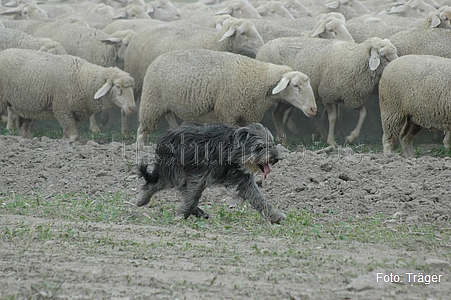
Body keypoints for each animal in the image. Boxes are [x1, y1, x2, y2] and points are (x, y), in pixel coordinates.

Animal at [0, 49, 136, 142]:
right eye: (118, 86)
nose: (132, 108)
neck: (83, 79)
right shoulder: (63, 111)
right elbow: (74, 137)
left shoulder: (72, 114)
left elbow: (67, 136)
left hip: (26, 106)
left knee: (22, 127)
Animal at [137, 122, 286, 223]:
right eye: (260, 147)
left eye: (272, 144)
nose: (277, 158)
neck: (231, 151)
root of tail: (166, 136)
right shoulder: (199, 177)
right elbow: (192, 198)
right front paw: (182, 214)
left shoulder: (244, 180)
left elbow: (259, 198)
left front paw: (274, 216)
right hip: (174, 171)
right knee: (155, 184)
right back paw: (142, 200)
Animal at [138, 49, 318, 144]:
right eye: (296, 86)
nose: (313, 109)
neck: (258, 78)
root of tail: (158, 58)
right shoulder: (229, 112)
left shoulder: (247, 115)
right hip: (151, 103)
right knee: (142, 130)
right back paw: (142, 148)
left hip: (166, 105)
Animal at [258, 37, 400, 147]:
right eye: (383, 55)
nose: (397, 67)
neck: (353, 59)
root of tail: (262, 48)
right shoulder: (328, 96)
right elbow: (333, 118)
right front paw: (332, 142)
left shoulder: (351, 96)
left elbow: (363, 114)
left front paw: (350, 138)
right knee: (277, 114)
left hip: (288, 99)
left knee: (278, 115)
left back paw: (284, 141)